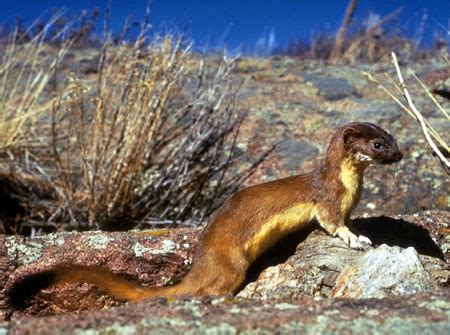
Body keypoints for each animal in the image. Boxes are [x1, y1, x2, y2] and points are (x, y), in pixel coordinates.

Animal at [9, 124, 404, 308]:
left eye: (394, 139)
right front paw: (358, 239)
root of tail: (201, 262)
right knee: (213, 288)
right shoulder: (326, 201)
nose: (399, 155)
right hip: (232, 263)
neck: (351, 188)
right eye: (378, 144)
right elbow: (333, 224)